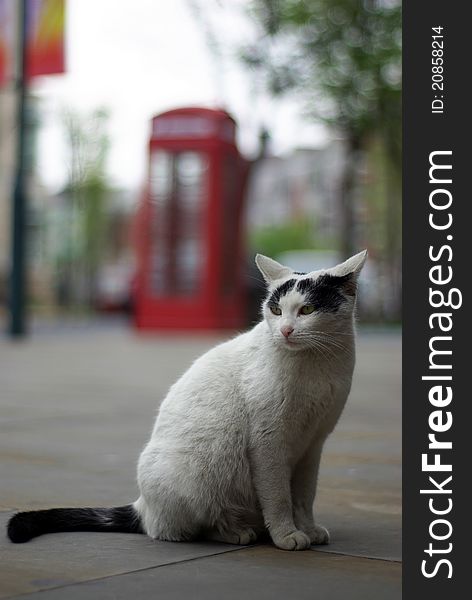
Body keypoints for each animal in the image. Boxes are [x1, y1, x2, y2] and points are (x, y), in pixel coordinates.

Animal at [8, 251, 368, 552]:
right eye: (276, 310)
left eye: (307, 309)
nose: (286, 331)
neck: (318, 365)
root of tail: (142, 506)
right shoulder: (269, 444)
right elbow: (279, 497)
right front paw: (287, 535)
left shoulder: (313, 444)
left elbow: (304, 496)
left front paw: (308, 528)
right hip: (200, 478)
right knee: (184, 529)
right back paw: (236, 532)